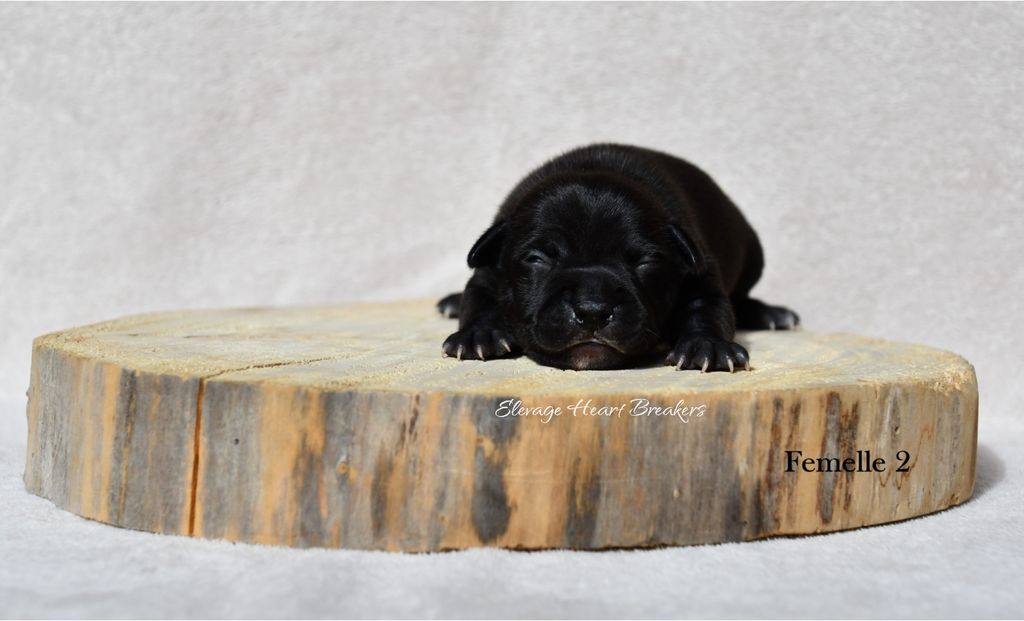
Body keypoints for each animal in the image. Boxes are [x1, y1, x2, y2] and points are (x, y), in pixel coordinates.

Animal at [436, 143, 794, 373]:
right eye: (537, 259)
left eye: (643, 263)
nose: (593, 311)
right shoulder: (487, 273)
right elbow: (479, 300)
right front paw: (479, 335)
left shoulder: (700, 275)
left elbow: (709, 309)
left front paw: (707, 345)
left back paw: (770, 314)